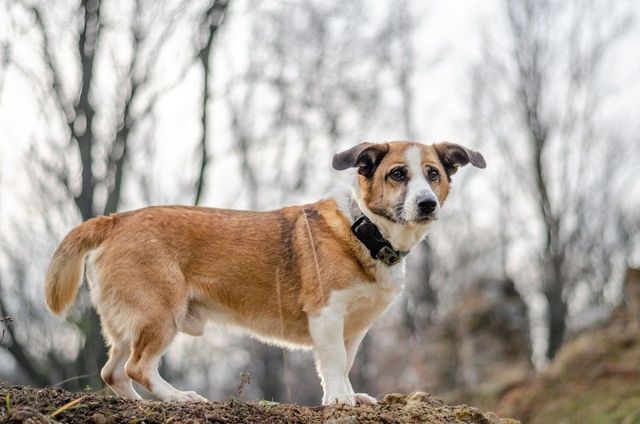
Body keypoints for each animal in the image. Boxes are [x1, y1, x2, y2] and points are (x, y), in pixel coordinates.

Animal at [45, 142, 484, 404]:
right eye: (397, 174)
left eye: (432, 174)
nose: (427, 204)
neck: (364, 230)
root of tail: (115, 219)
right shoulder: (327, 318)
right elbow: (333, 363)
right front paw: (339, 400)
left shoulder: (355, 328)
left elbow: (345, 363)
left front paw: (351, 395)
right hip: (160, 313)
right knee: (137, 366)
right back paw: (178, 398)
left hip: (128, 324)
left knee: (113, 371)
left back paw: (136, 404)